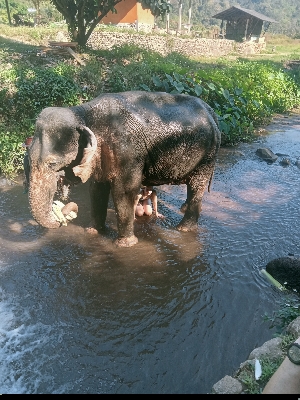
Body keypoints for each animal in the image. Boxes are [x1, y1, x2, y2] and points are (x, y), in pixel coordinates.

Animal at [27, 91, 220, 247]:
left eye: (52, 164)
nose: (61, 214)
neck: (82, 112)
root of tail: (211, 111)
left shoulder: (127, 152)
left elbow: (124, 191)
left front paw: (125, 244)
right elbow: (97, 189)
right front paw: (93, 232)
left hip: (207, 157)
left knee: (196, 186)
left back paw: (183, 229)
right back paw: (183, 209)